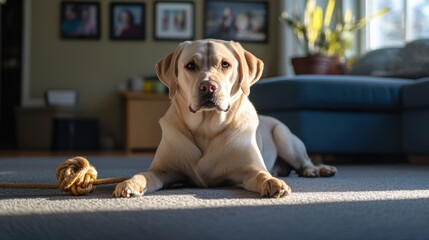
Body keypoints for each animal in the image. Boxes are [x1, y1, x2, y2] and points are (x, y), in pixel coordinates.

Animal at [113, 39, 334, 198]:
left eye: (225, 64)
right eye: (190, 65)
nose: (208, 87)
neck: (206, 128)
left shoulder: (249, 170)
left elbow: (262, 174)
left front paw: (272, 182)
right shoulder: (162, 170)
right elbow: (144, 174)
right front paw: (129, 183)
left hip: (285, 138)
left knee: (305, 161)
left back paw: (318, 169)